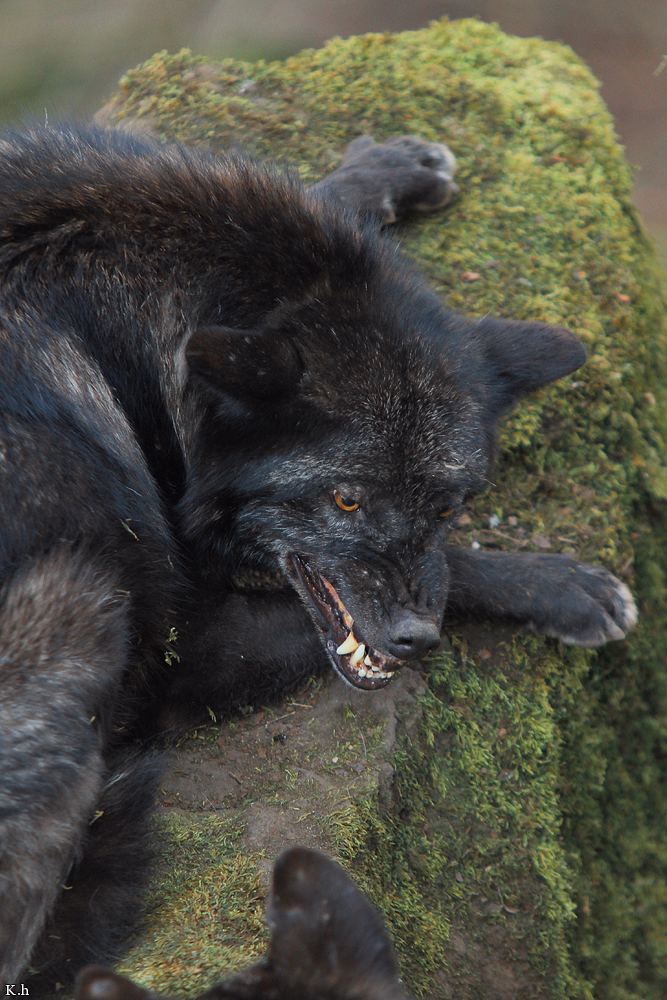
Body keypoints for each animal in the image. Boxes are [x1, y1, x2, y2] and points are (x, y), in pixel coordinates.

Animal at [0, 124, 636, 989]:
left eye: (447, 506)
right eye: (346, 501)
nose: (411, 639)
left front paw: (383, 168)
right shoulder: (184, 648)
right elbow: (461, 572)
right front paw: (564, 585)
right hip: (75, 600)